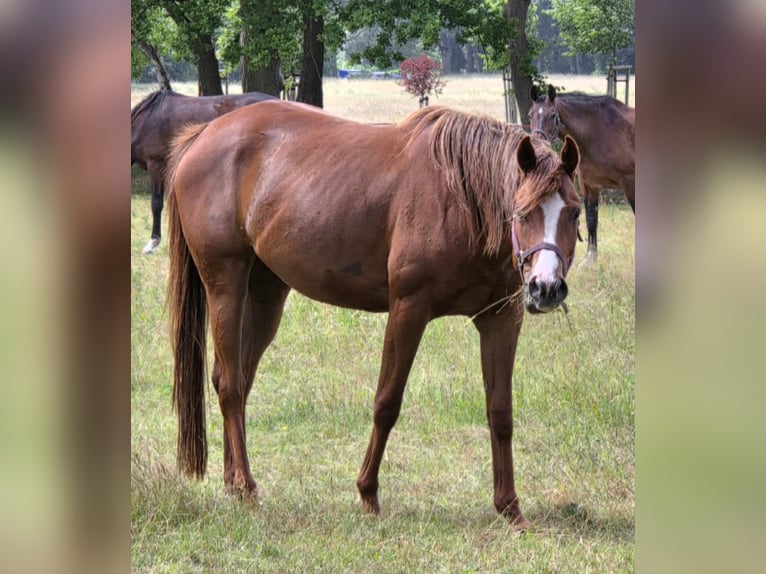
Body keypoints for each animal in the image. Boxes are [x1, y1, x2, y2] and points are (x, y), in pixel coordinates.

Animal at [165, 100, 581, 528]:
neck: (463, 200)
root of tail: (204, 134)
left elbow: (500, 411)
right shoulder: (408, 309)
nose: (546, 287)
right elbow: (387, 403)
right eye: (522, 213)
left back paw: (233, 481)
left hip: (265, 295)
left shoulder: (501, 318)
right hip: (225, 285)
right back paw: (246, 486)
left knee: (234, 379)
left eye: (574, 213)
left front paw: (509, 507)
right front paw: (368, 493)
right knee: (231, 385)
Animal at [529, 84, 635, 263]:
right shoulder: (588, 185)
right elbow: (591, 220)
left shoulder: (630, 183)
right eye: (530, 115)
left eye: (552, 115)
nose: (537, 145)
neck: (597, 132)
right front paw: (590, 259)